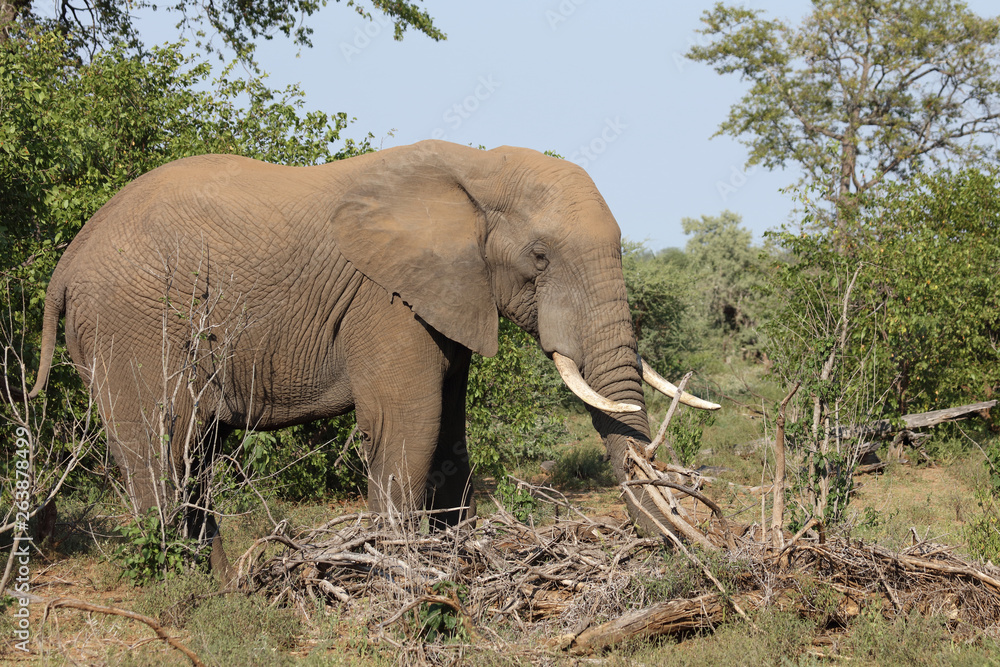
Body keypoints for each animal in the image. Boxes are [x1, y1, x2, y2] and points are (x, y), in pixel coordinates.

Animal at [20, 139, 719, 576]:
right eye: (540, 257)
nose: (675, 538)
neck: (475, 170)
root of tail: (66, 263)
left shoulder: (448, 294)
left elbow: (450, 431)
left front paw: (452, 555)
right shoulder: (385, 299)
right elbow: (409, 420)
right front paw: (402, 572)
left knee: (194, 451)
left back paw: (229, 593)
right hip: (134, 321)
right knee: (159, 443)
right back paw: (183, 593)